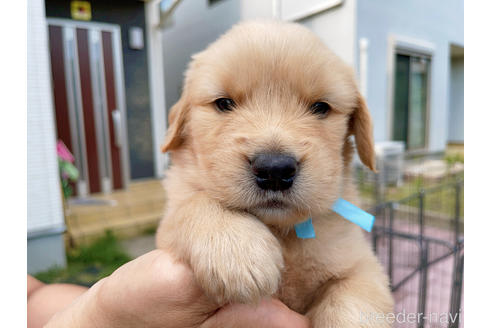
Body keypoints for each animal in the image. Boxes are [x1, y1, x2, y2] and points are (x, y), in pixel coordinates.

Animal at [158, 19, 392, 326]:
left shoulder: (361, 266)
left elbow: (353, 304)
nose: (275, 170)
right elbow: (192, 203)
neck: (284, 232)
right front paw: (238, 249)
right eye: (224, 103)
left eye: (320, 107)